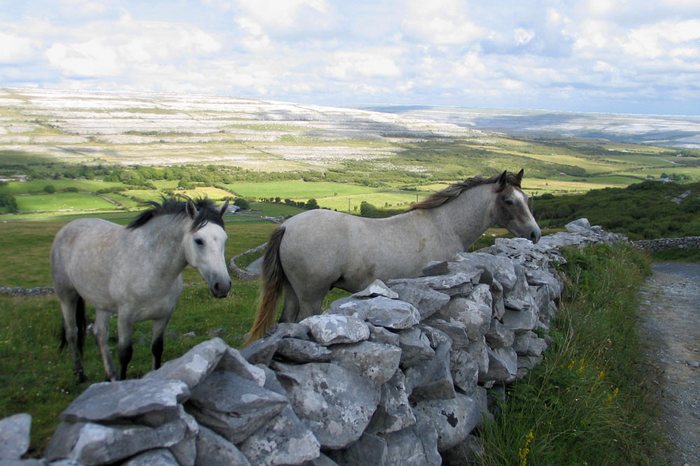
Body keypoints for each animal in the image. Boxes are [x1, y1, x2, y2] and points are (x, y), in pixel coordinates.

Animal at [53, 198, 232, 382]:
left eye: (224, 239)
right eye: (199, 241)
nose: (222, 286)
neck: (151, 266)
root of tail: (68, 227)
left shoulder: (163, 316)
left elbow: (157, 349)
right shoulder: (125, 318)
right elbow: (125, 354)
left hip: (102, 304)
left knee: (100, 334)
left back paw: (111, 375)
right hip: (66, 296)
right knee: (72, 333)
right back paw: (80, 374)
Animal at [247, 169, 540, 340]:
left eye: (527, 199)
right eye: (509, 201)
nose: (535, 233)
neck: (443, 225)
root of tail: (287, 226)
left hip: (293, 292)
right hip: (311, 296)